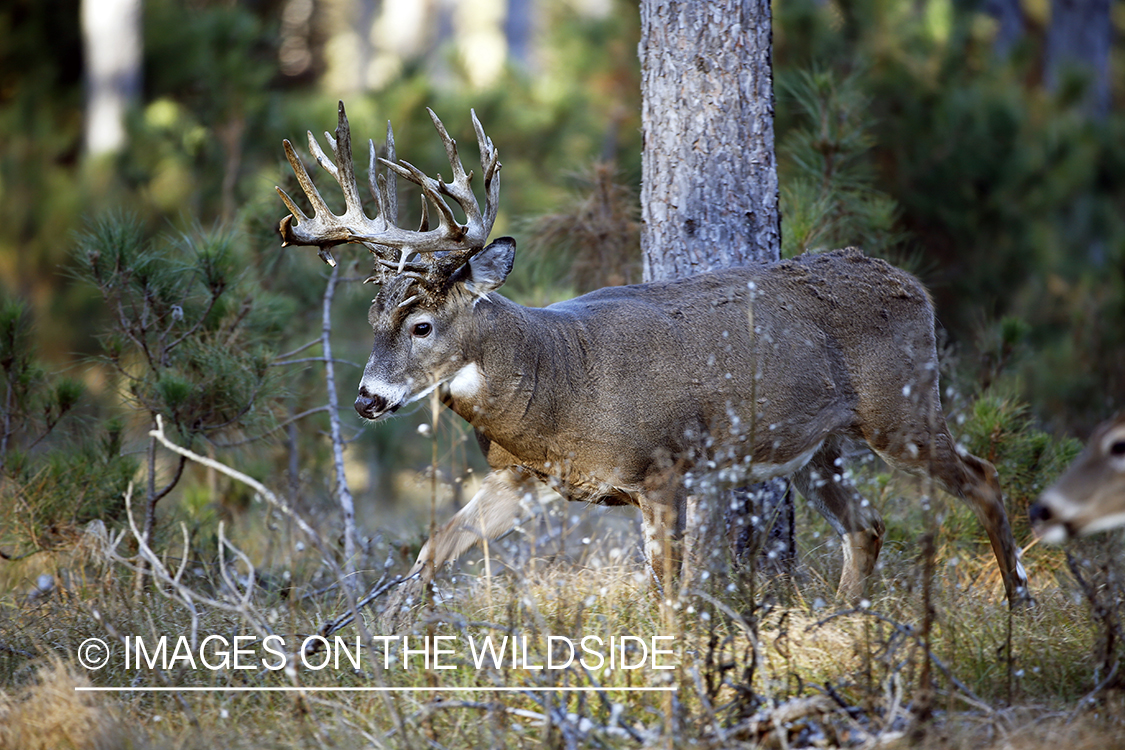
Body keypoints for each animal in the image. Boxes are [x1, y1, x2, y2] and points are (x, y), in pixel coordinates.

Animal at [274, 102, 1030, 625]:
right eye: (373, 322)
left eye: (423, 325)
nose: (366, 399)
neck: (556, 379)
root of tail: (914, 286)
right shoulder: (520, 478)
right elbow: (433, 550)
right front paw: (378, 639)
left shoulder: (666, 468)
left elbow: (669, 593)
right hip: (816, 446)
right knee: (867, 528)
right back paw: (840, 621)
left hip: (901, 406)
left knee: (984, 477)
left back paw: (1019, 604)